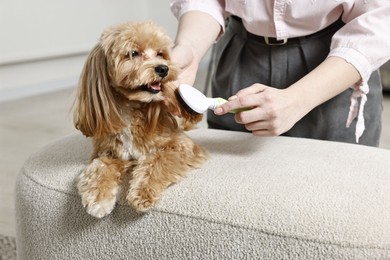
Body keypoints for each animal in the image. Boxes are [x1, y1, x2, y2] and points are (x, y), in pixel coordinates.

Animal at [72, 21, 207, 218]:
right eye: (133, 53)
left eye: (160, 53)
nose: (163, 68)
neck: (132, 110)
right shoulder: (107, 152)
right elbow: (99, 167)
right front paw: (98, 196)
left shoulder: (183, 147)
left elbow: (156, 161)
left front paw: (142, 193)